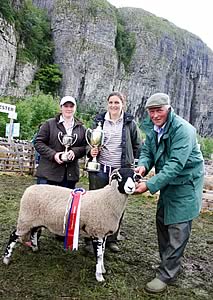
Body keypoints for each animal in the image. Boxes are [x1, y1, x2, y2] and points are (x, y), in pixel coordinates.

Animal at [2, 169, 141, 282]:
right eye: (119, 177)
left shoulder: (103, 233)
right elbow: (99, 254)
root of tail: (29, 189)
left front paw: (102, 269)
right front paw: (99, 276)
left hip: (35, 219)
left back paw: (35, 248)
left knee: (34, 231)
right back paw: (6, 259)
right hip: (25, 219)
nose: (130, 188)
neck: (108, 198)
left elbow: (102, 252)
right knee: (13, 235)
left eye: (135, 177)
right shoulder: (96, 232)